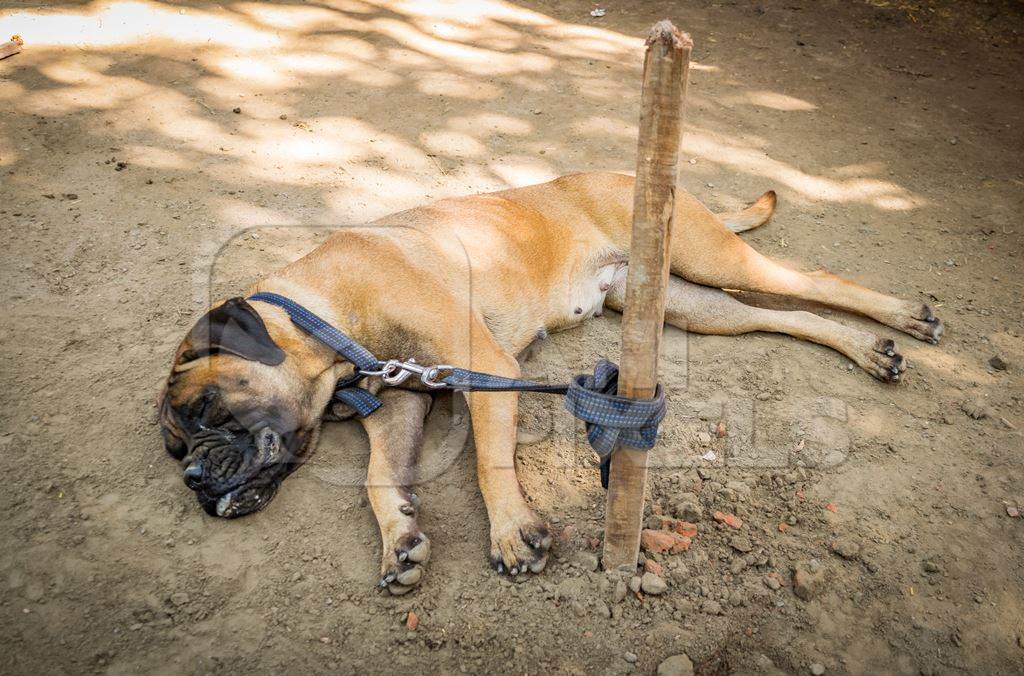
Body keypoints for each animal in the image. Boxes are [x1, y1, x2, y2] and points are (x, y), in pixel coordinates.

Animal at [159, 173, 942, 589]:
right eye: (174, 446)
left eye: (207, 408)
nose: (193, 477)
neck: (327, 318)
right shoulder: (402, 405)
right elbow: (382, 480)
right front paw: (400, 537)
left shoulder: (483, 369)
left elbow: (487, 459)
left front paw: (512, 532)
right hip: (688, 304)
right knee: (782, 316)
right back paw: (873, 350)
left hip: (712, 257)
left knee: (814, 281)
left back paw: (902, 316)